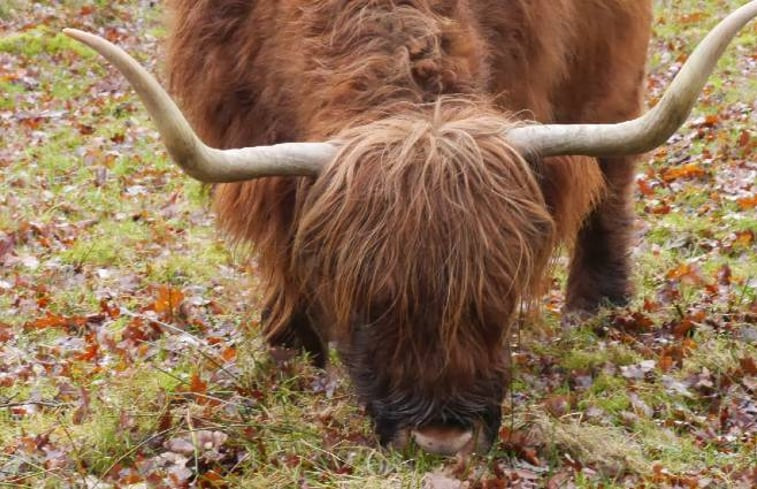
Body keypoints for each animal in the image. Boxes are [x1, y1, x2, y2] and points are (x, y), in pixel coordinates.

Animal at [65, 1, 756, 456]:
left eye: (498, 296)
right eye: (366, 301)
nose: (441, 440)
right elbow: (282, 241)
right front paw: (290, 350)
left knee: (611, 176)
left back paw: (597, 306)